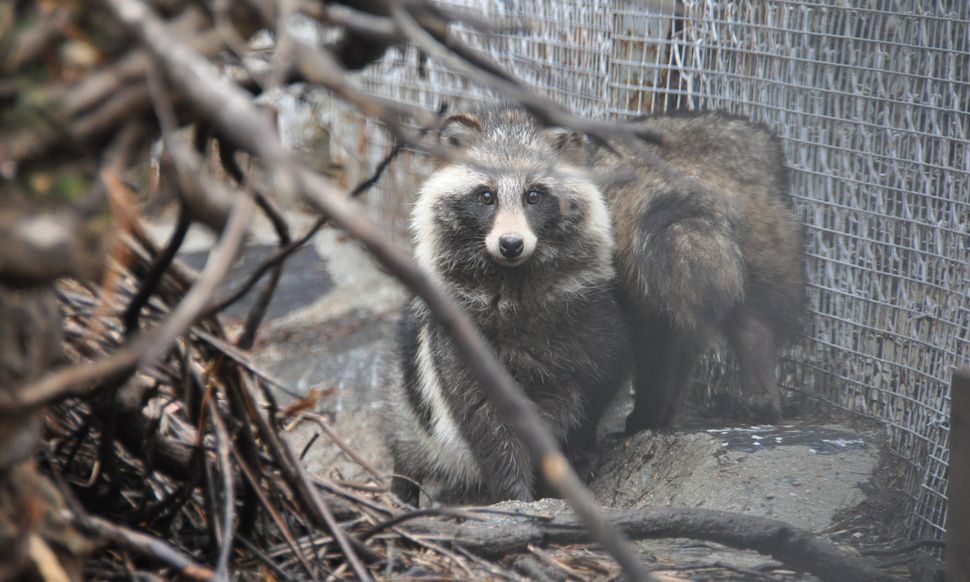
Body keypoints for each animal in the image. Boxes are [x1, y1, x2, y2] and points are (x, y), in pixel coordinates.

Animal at [382, 109, 632, 506]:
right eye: (486, 196)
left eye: (534, 195)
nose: (511, 243)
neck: (513, 278)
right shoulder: (458, 343)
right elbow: (487, 423)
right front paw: (514, 493)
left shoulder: (593, 319)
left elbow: (595, 390)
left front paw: (574, 458)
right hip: (403, 399)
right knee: (408, 440)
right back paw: (402, 487)